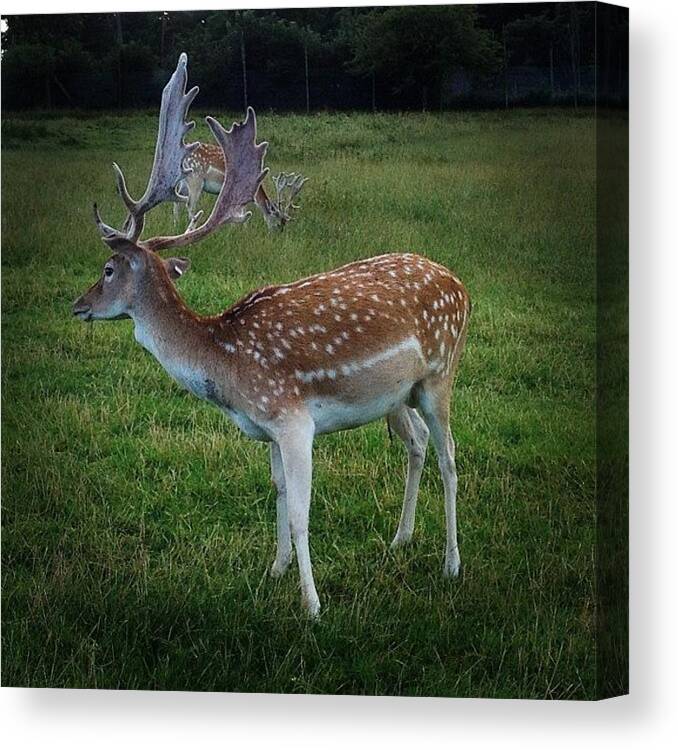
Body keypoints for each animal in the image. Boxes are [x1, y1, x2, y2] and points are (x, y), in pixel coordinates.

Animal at [71, 51, 470, 616]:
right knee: (419, 447)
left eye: (107, 269)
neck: (226, 367)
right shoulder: (266, 430)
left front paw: (312, 604)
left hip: (440, 375)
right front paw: (275, 569)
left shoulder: (293, 420)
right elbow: (278, 494)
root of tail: (462, 285)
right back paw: (401, 539)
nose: (77, 304)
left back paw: (452, 563)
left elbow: (302, 512)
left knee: (449, 457)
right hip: (401, 393)